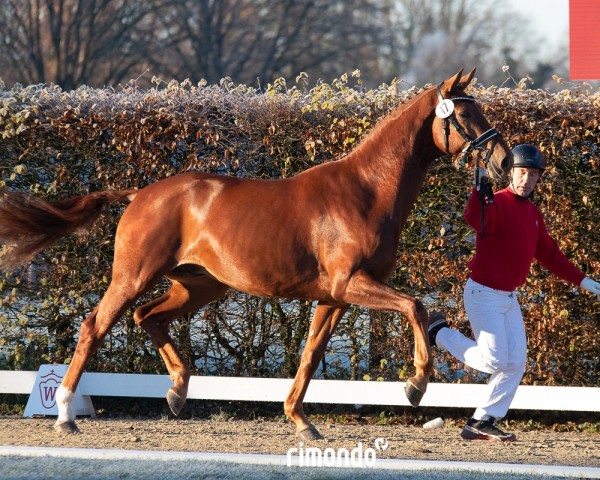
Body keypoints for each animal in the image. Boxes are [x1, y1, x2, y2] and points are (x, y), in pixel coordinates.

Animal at [0, 67, 510, 438]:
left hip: (199, 287)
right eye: (465, 117)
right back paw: (66, 412)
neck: (366, 191)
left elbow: (310, 355)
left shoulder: (334, 298)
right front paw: (415, 385)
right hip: (134, 276)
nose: (505, 162)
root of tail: (139, 193)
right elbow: (416, 305)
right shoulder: (352, 284)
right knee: (95, 327)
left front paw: (301, 422)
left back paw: (178, 391)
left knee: (148, 318)